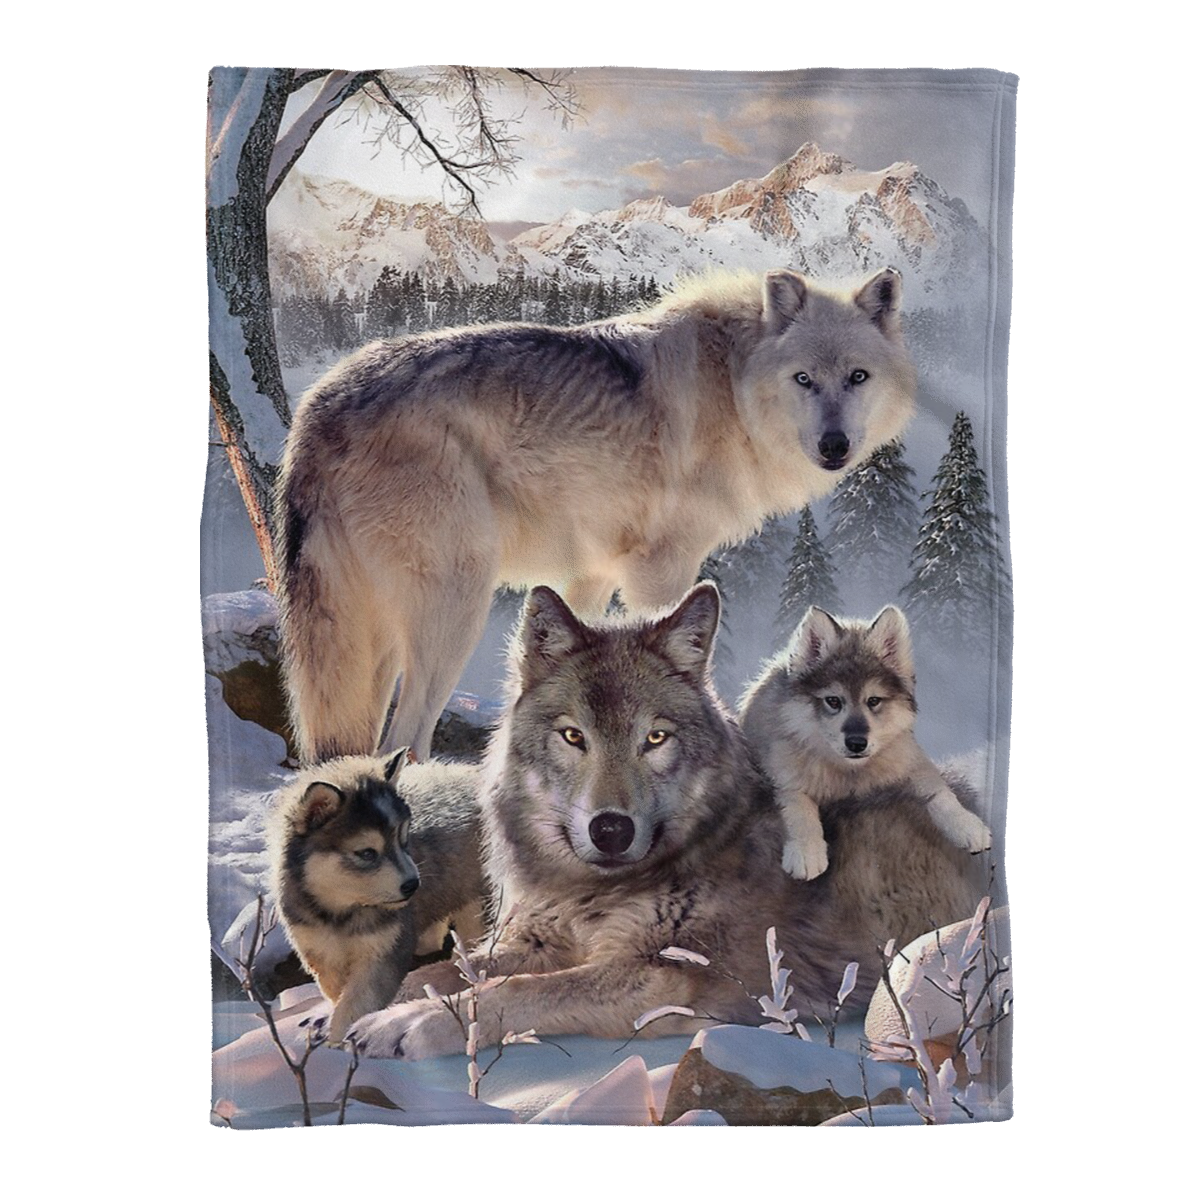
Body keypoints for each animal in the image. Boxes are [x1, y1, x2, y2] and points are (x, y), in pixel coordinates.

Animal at [268, 750, 485, 1043]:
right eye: (367, 853)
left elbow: (356, 1005)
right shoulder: (321, 953)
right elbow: (338, 994)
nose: (413, 885)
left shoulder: (382, 955)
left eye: (403, 840)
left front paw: (340, 1043)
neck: (342, 911)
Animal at [277, 267, 917, 763]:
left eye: (857, 377)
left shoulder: (591, 573)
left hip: (376, 641)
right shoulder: (662, 569)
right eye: (804, 379)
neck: (733, 386)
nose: (835, 446)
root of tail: (316, 407)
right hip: (456, 609)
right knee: (401, 743)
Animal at [741, 605, 993, 881]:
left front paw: (968, 825)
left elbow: (940, 794)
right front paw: (807, 851)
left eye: (873, 700)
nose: (857, 743)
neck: (851, 774)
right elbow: (798, 808)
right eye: (833, 701)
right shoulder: (783, 777)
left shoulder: (910, 759)